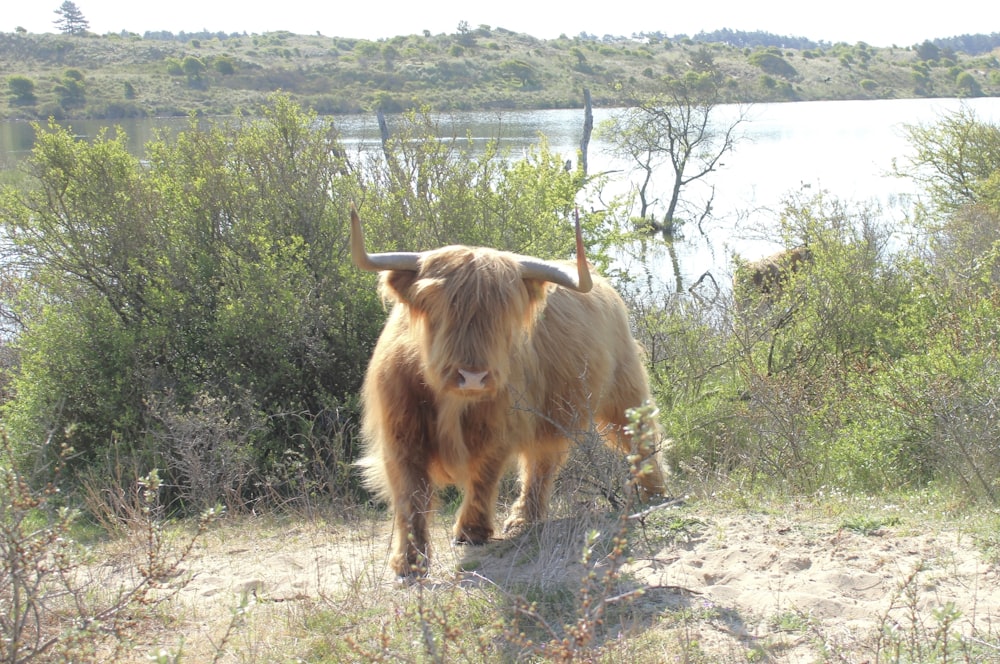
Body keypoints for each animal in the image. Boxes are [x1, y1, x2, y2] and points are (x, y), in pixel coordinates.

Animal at [352, 206, 664, 576]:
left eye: (504, 310)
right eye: (438, 304)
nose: (472, 376)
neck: (453, 401)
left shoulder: (498, 427)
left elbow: (483, 476)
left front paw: (471, 531)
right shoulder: (400, 432)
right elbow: (410, 493)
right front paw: (409, 561)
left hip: (624, 389)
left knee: (641, 437)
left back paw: (655, 494)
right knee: (543, 462)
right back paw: (524, 518)